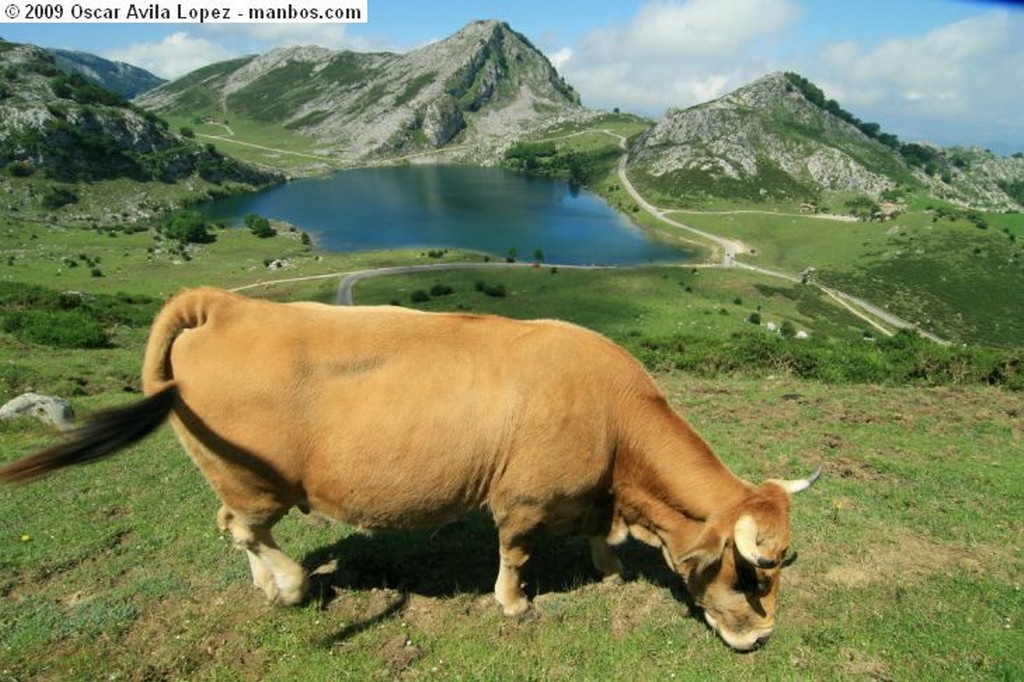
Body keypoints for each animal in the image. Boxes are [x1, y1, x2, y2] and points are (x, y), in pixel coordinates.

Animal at [0, 284, 819, 647]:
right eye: (750, 575)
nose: (761, 639)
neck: (615, 419)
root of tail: (229, 305)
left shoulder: (593, 493)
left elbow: (599, 536)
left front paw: (611, 571)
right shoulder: (522, 498)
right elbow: (517, 554)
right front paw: (514, 604)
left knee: (232, 528)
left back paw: (272, 587)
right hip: (255, 479)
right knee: (246, 529)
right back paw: (292, 586)